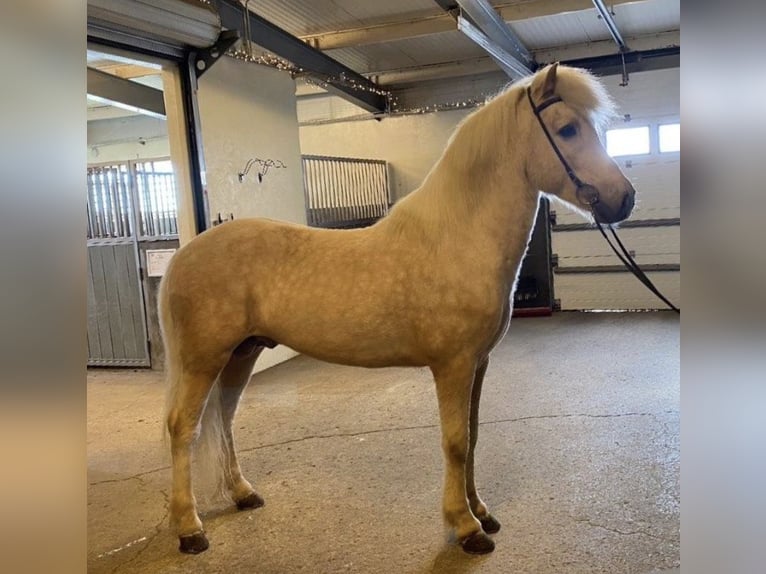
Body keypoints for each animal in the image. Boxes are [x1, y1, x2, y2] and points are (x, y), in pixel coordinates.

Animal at [159, 62, 635, 556]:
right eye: (567, 129)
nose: (624, 198)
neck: (458, 238)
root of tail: (185, 254)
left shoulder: (478, 363)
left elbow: (474, 434)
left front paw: (481, 511)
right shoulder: (453, 365)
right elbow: (456, 441)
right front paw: (466, 527)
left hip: (243, 354)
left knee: (224, 420)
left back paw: (243, 494)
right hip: (203, 359)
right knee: (184, 428)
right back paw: (190, 529)